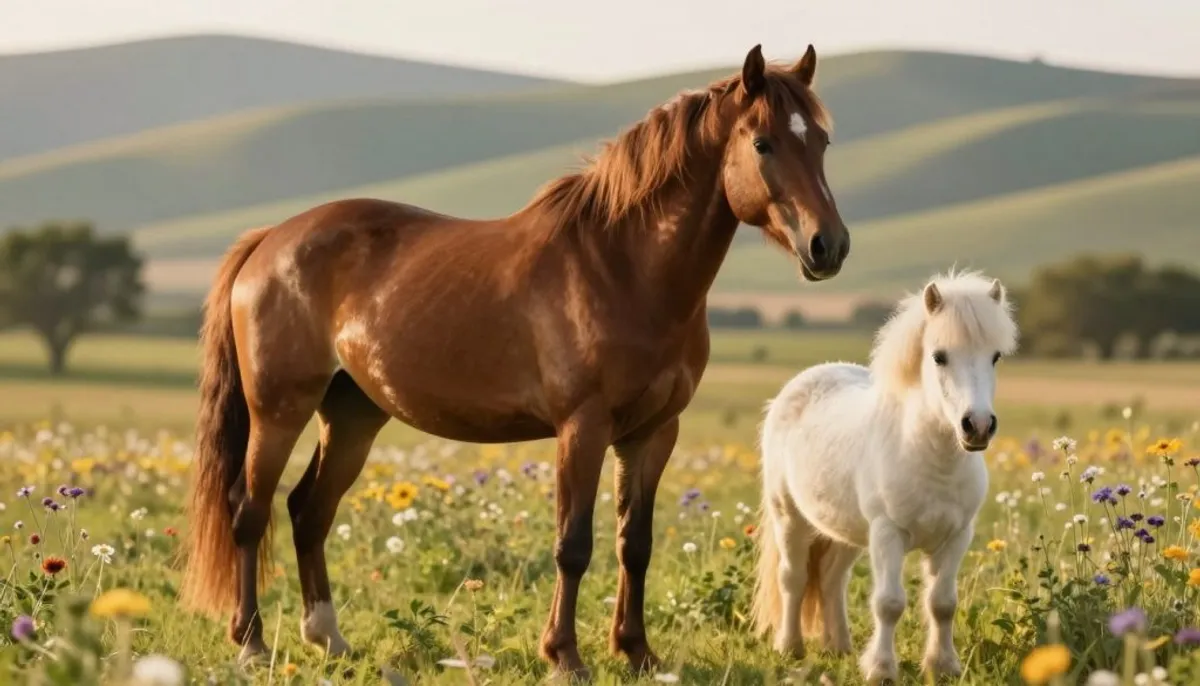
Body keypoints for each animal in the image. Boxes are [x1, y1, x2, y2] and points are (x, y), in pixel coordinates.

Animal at [178, 43, 850, 679]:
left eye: (821, 140)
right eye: (762, 142)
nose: (830, 247)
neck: (623, 268)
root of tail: (268, 240)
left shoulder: (654, 433)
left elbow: (636, 544)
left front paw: (636, 652)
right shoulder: (582, 428)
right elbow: (573, 544)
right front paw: (565, 655)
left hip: (352, 416)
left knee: (308, 511)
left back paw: (329, 640)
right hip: (278, 412)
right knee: (249, 511)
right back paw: (251, 644)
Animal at [750, 270, 1018, 684]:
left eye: (995, 356)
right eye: (939, 356)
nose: (977, 426)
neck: (931, 459)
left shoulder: (956, 537)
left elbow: (943, 603)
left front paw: (943, 665)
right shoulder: (889, 533)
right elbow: (889, 603)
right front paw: (881, 669)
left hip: (845, 531)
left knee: (831, 579)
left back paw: (840, 647)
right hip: (790, 518)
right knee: (793, 578)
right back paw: (790, 648)